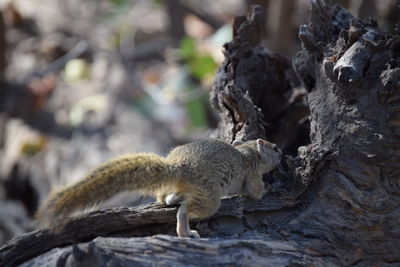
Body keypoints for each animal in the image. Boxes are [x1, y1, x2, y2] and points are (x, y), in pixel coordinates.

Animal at [36, 139, 282, 238]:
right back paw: (185, 231)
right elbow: (255, 192)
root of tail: (179, 167)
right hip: (209, 196)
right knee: (186, 209)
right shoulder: (252, 175)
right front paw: (270, 189)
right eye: (276, 148)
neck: (250, 152)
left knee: (167, 199)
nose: (284, 153)